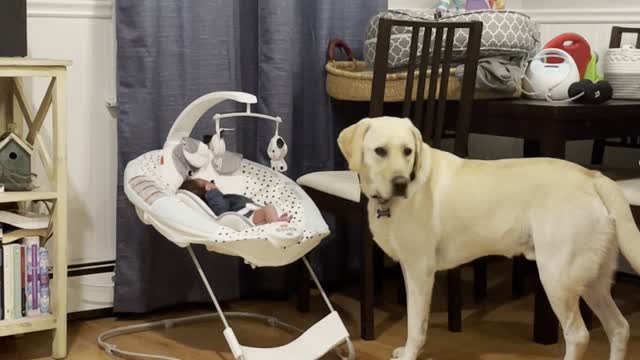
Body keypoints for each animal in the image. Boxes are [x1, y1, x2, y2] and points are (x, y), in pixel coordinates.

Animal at [338, 116, 636, 360]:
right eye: (380, 151)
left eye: (408, 151)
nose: (401, 183)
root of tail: (592, 176)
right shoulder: (409, 268)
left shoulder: (419, 271)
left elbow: (415, 324)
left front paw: (410, 353)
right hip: (593, 280)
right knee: (619, 327)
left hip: (557, 277)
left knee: (579, 335)